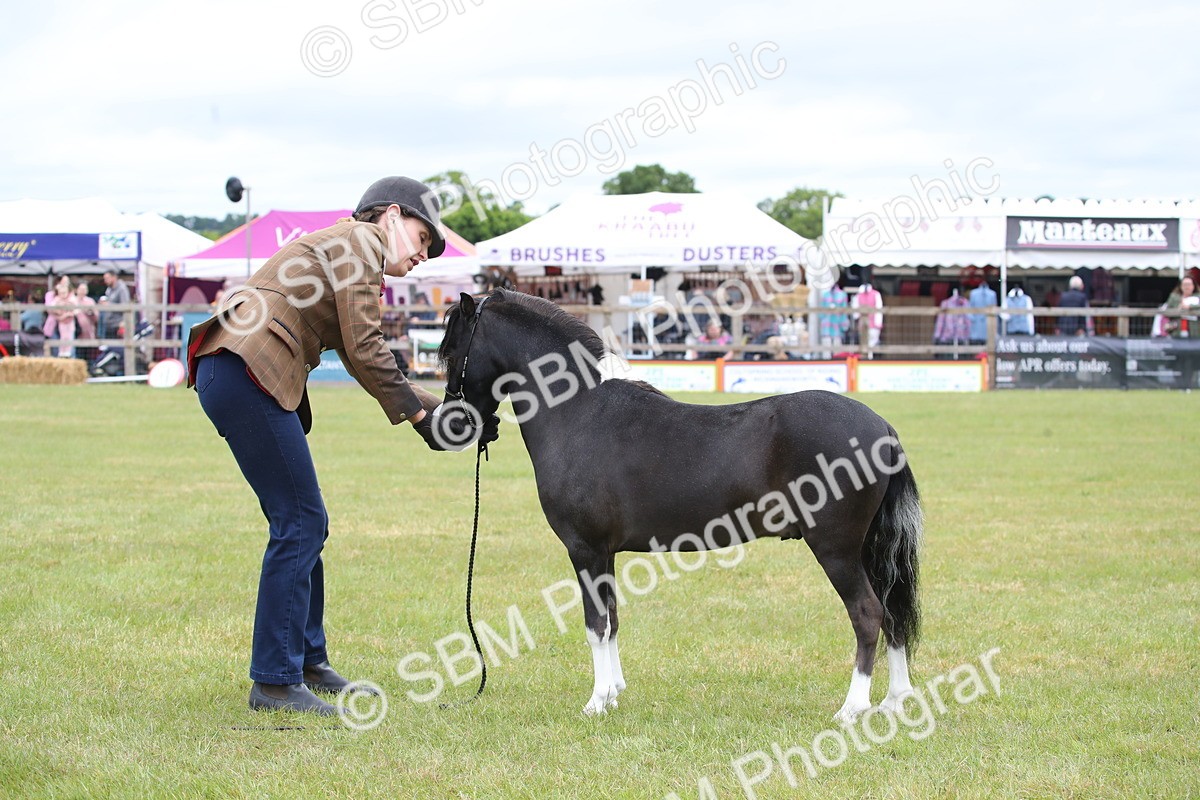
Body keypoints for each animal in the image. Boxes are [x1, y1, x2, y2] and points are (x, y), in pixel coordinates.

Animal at [436, 289, 922, 721]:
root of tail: (882, 427)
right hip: (867, 549)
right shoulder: (605, 553)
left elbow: (595, 625)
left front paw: (595, 702)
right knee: (892, 614)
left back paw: (852, 708)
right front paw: (614, 694)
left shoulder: (584, 550)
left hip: (836, 549)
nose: (451, 425)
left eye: (451, 352)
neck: (579, 411)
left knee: (867, 614)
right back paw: (893, 701)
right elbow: (613, 619)